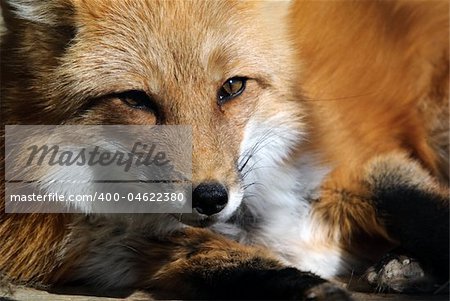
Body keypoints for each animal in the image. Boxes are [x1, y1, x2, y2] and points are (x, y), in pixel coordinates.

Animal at [0, 0, 448, 298]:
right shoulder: (123, 253)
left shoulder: (347, 159)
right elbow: (234, 265)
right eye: (136, 100)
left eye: (232, 87)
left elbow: (419, 210)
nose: (211, 198)